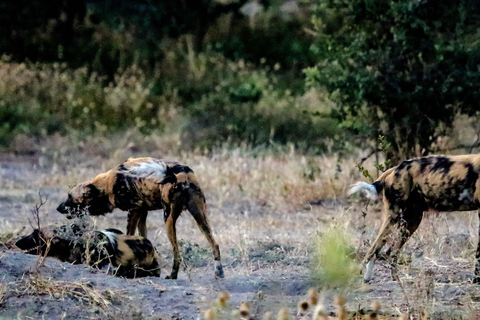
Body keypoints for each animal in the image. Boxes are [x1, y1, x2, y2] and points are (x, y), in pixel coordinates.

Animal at [55, 158, 224, 280]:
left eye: (69, 196)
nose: (58, 207)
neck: (106, 184)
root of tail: (182, 173)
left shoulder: (134, 211)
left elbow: (128, 234)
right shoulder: (143, 212)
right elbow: (144, 237)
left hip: (168, 219)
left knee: (177, 252)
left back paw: (173, 275)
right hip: (200, 217)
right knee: (215, 244)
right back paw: (219, 272)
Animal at [348, 154, 480, 282]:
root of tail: (395, 168)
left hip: (412, 221)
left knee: (390, 252)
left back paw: (395, 280)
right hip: (395, 218)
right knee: (373, 249)